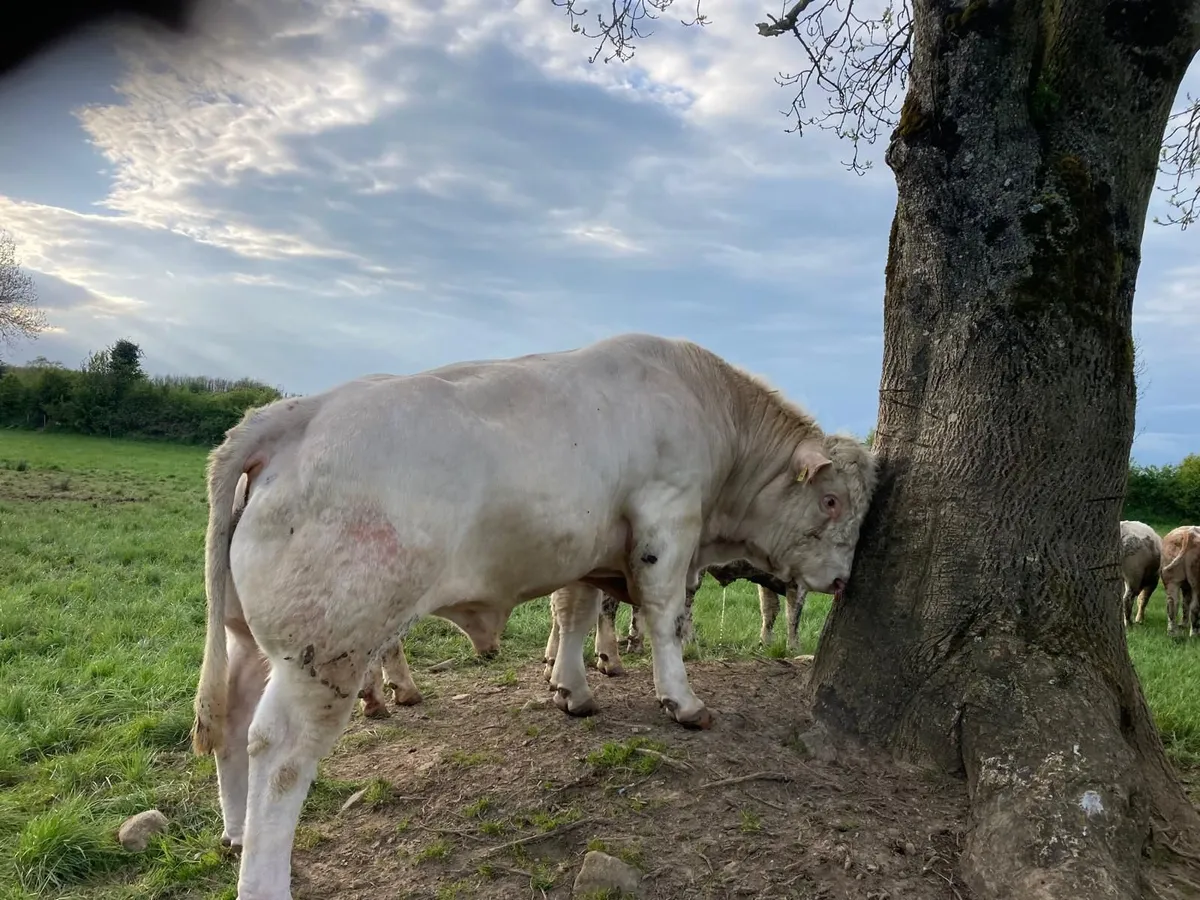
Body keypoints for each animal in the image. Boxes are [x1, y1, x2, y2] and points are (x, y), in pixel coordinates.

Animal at [190, 332, 877, 898]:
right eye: (832, 500)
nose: (845, 579)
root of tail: (293, 413)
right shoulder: (667, 521)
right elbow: (663, 618)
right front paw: (681, 700)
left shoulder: (586, 550)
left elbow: (574, 613)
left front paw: (572, 688)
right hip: (329, 647)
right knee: (278, 754)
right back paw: (264, 872)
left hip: (250, 638)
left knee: (233, 715)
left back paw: (235, 829)